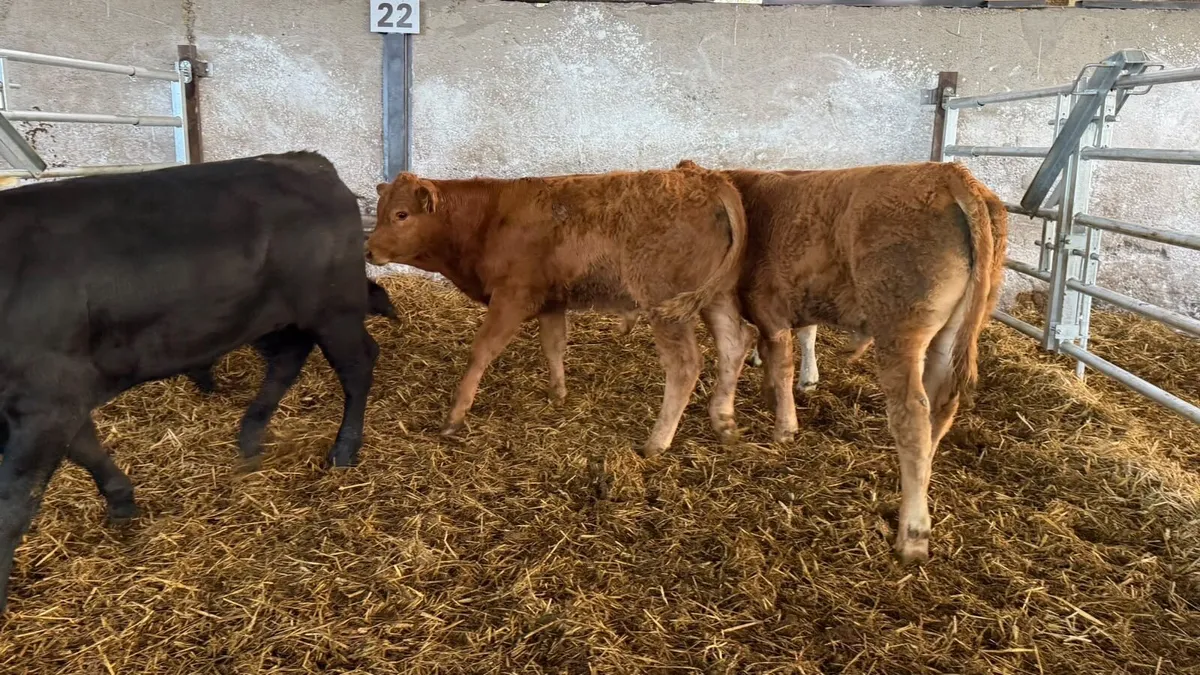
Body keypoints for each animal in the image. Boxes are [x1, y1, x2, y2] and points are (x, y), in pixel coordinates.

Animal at [0, 151, 380, 613]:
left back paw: (344, 449)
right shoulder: (56, 399)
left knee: (357, 367)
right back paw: (250, 436)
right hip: (279, 317)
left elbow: (13, 506)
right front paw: (122, 501)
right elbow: (86, 448)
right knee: (288, 359)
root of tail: (305, 161)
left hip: (334, 310)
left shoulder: (45, 401)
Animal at [365, 166, 748, 456]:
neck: (489, 218)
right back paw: (724, 421)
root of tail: (702, 176)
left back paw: (657, 442)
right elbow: (553, 345)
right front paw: (557, 393)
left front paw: (455, 416)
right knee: (734, 344)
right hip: (717, 296)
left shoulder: (513, 296)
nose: (368, 250)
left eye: (401, 214)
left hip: (667, 305)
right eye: (380, 211)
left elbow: (482, 351)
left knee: (685, 365)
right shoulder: (550, 301)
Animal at [679, 159, 1008, 564]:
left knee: (913, 414)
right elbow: (794, 343)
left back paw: (912, 534)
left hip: (899, 326)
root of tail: (948, 172)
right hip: (952, 332)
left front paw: (785, 428)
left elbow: (782, 359)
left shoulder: (769, 303)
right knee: (940, 408)